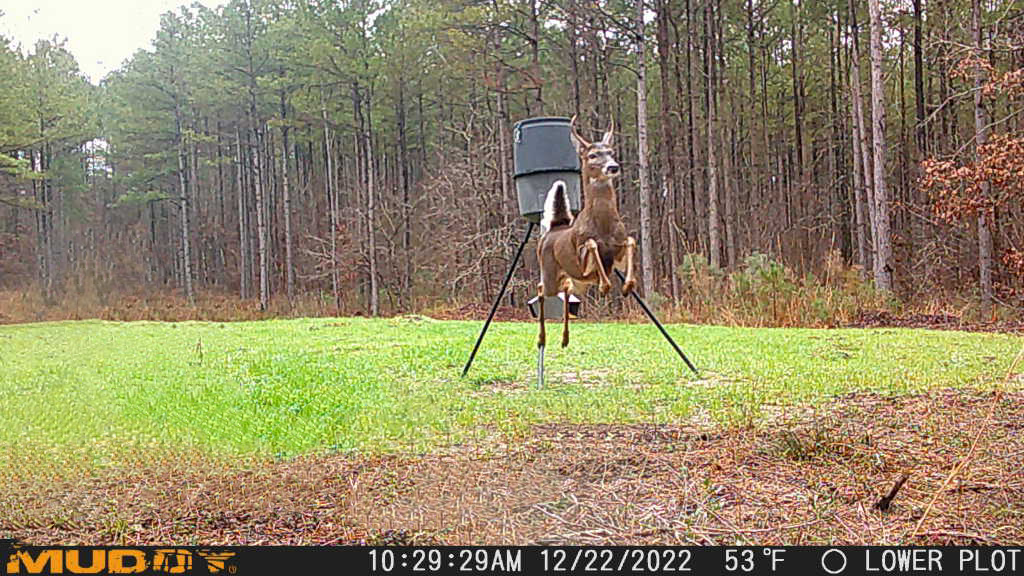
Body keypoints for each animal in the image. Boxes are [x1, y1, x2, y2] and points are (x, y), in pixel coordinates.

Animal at [540, 114, 634, 348]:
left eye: (611, 152)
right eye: (592, 155)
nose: (613, 167)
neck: (604, 226)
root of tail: (554, 228)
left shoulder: (617, 253)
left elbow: (630, 240)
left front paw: (628, 285)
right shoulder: (582, 261)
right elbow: (591, 244)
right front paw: (604, 286)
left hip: (574, 282)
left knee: (566, 294)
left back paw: (565, 339)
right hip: (549, 272)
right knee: (541, 291)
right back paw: (543, 338)